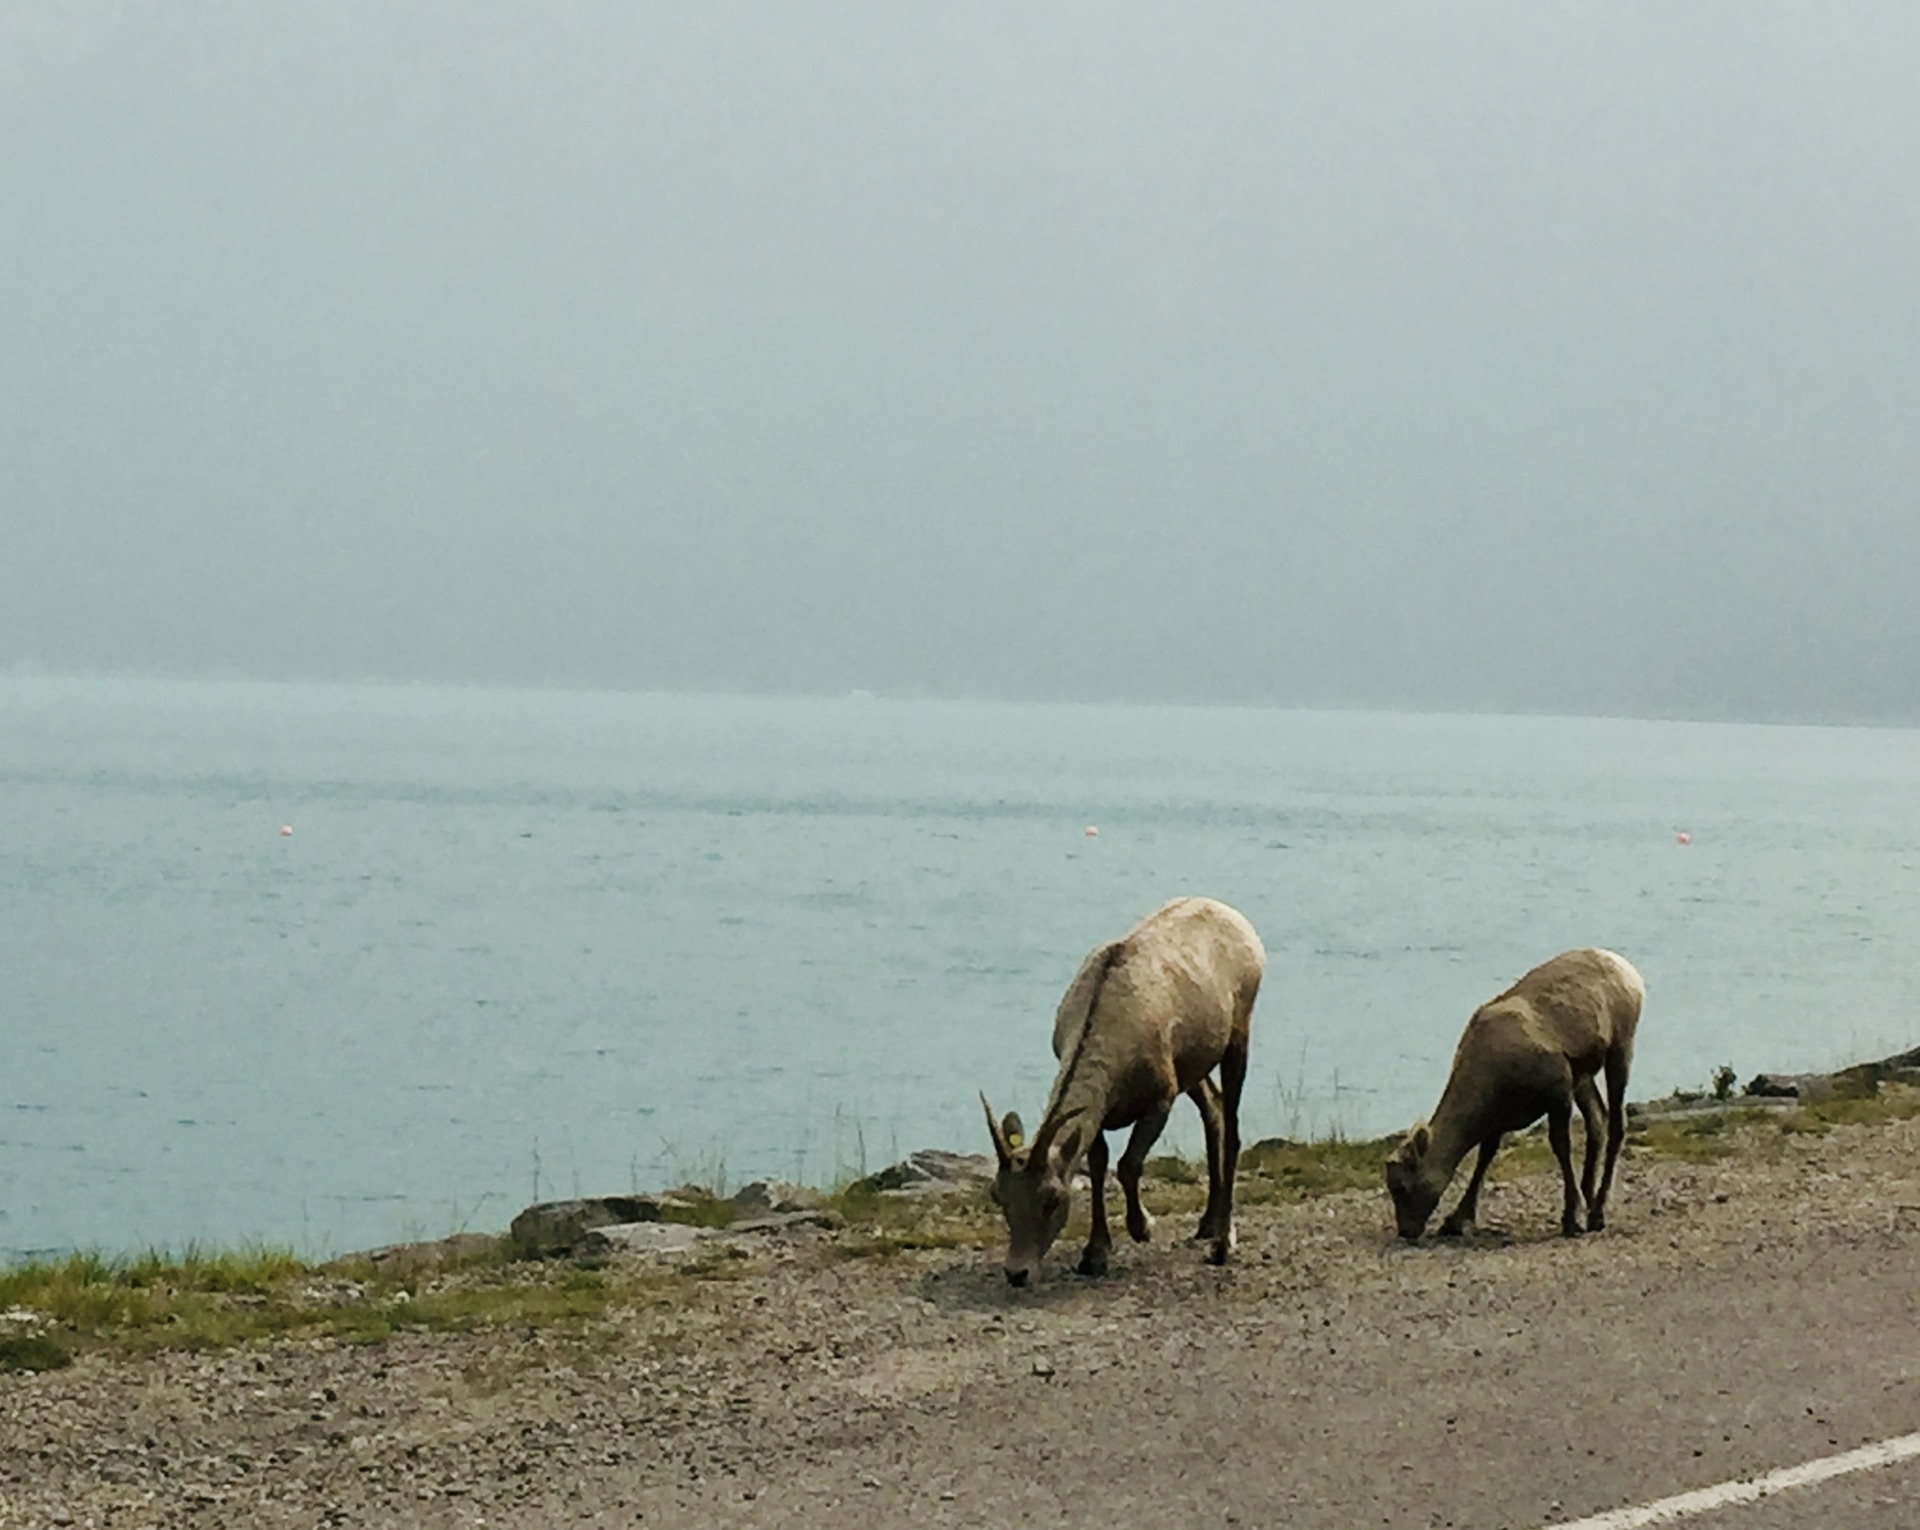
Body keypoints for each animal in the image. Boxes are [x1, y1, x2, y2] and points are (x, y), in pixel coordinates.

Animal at [983, 894, 1267, 1274]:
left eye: (1052, 1199)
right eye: (998, 1195)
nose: (1017, 1272)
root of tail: (1237, 919)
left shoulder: (1161, 1096)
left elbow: (1129, 1164)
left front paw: (1142, 1227)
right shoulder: (1103, 1111)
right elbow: (1098, 1162)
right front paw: (1094, 1253)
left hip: (1237, 1034)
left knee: (1233, 1126)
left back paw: (1222, 1241)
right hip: (1191, 1064)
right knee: (1214, 1106)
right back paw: (1207, 1224)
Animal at [1390, 944, 1643, 1243]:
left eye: (1401, 1187)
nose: (1406, 1231)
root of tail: (1627, 969)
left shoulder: (1558, 1093)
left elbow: (1561, 1147)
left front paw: (1572, 1220)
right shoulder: (1499, 1117)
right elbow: (1485, 1156)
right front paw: (1456, 1221)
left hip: (1620, 1049)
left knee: (1616, 1124)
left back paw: (1597, 1215)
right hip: (1584, 1077)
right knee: (1597, 1122)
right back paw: (1591, 1203)